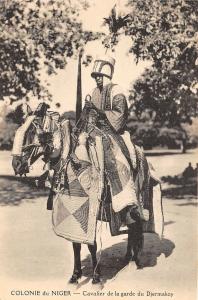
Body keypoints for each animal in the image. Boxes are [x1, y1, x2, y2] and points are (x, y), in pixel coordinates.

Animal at [11, 103, 162, 286]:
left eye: (32, 131)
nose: (16, 164)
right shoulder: (73, 214)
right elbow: (76, 245)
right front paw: (75, 275)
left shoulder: (92, 209)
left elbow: (92, 245)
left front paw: (96, 277)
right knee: (132, 228)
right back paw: (127, 257)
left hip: (137, 199)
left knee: (136, 226)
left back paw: (135, 261)